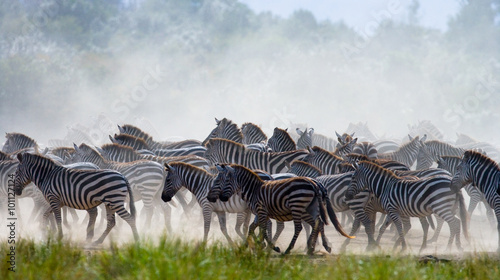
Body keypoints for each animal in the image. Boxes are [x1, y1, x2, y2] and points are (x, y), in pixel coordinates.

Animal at [206, 163, 352, 255]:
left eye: (220, 181)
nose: (211, 198)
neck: (254, 190)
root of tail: (314, 183)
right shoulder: (260, 213)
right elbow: (253, 228)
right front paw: (250, 245)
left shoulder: (261, 211)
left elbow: (263, 228)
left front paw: (270, 246)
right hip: (310, 208)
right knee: (318, 223)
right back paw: (314, 247)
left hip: (297, 207)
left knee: (299, 227)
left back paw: (290, 249)